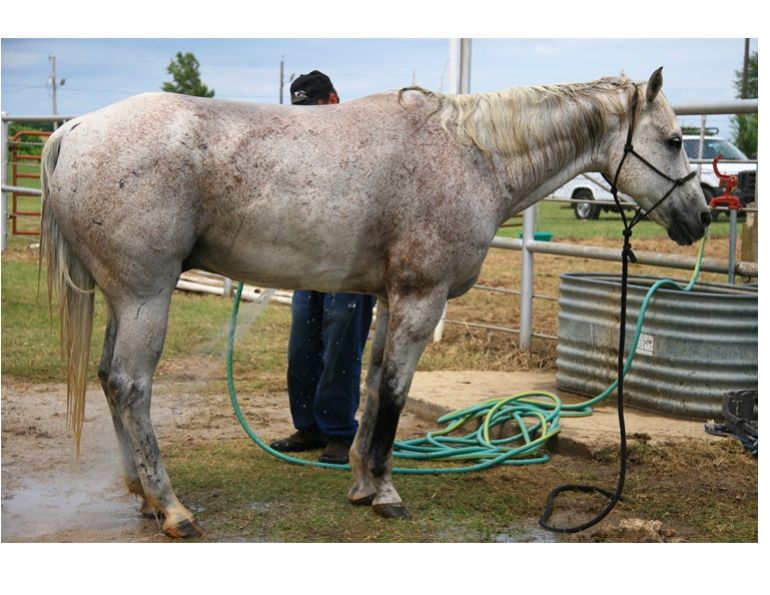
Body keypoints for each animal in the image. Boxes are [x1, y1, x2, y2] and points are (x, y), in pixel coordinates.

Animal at [40, 68, 710, 538]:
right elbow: (392, 393)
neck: (472, 155)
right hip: (147, 297)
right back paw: (173, 509)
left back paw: (142, 496)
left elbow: (369, 384)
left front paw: (362, 481)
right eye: (676, 140)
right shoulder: (421, 300)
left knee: (109, 379)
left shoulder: (390, 302)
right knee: (131, 386)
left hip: (123, 300)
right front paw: (386, 494)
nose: (701, 217)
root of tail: (76, 128)